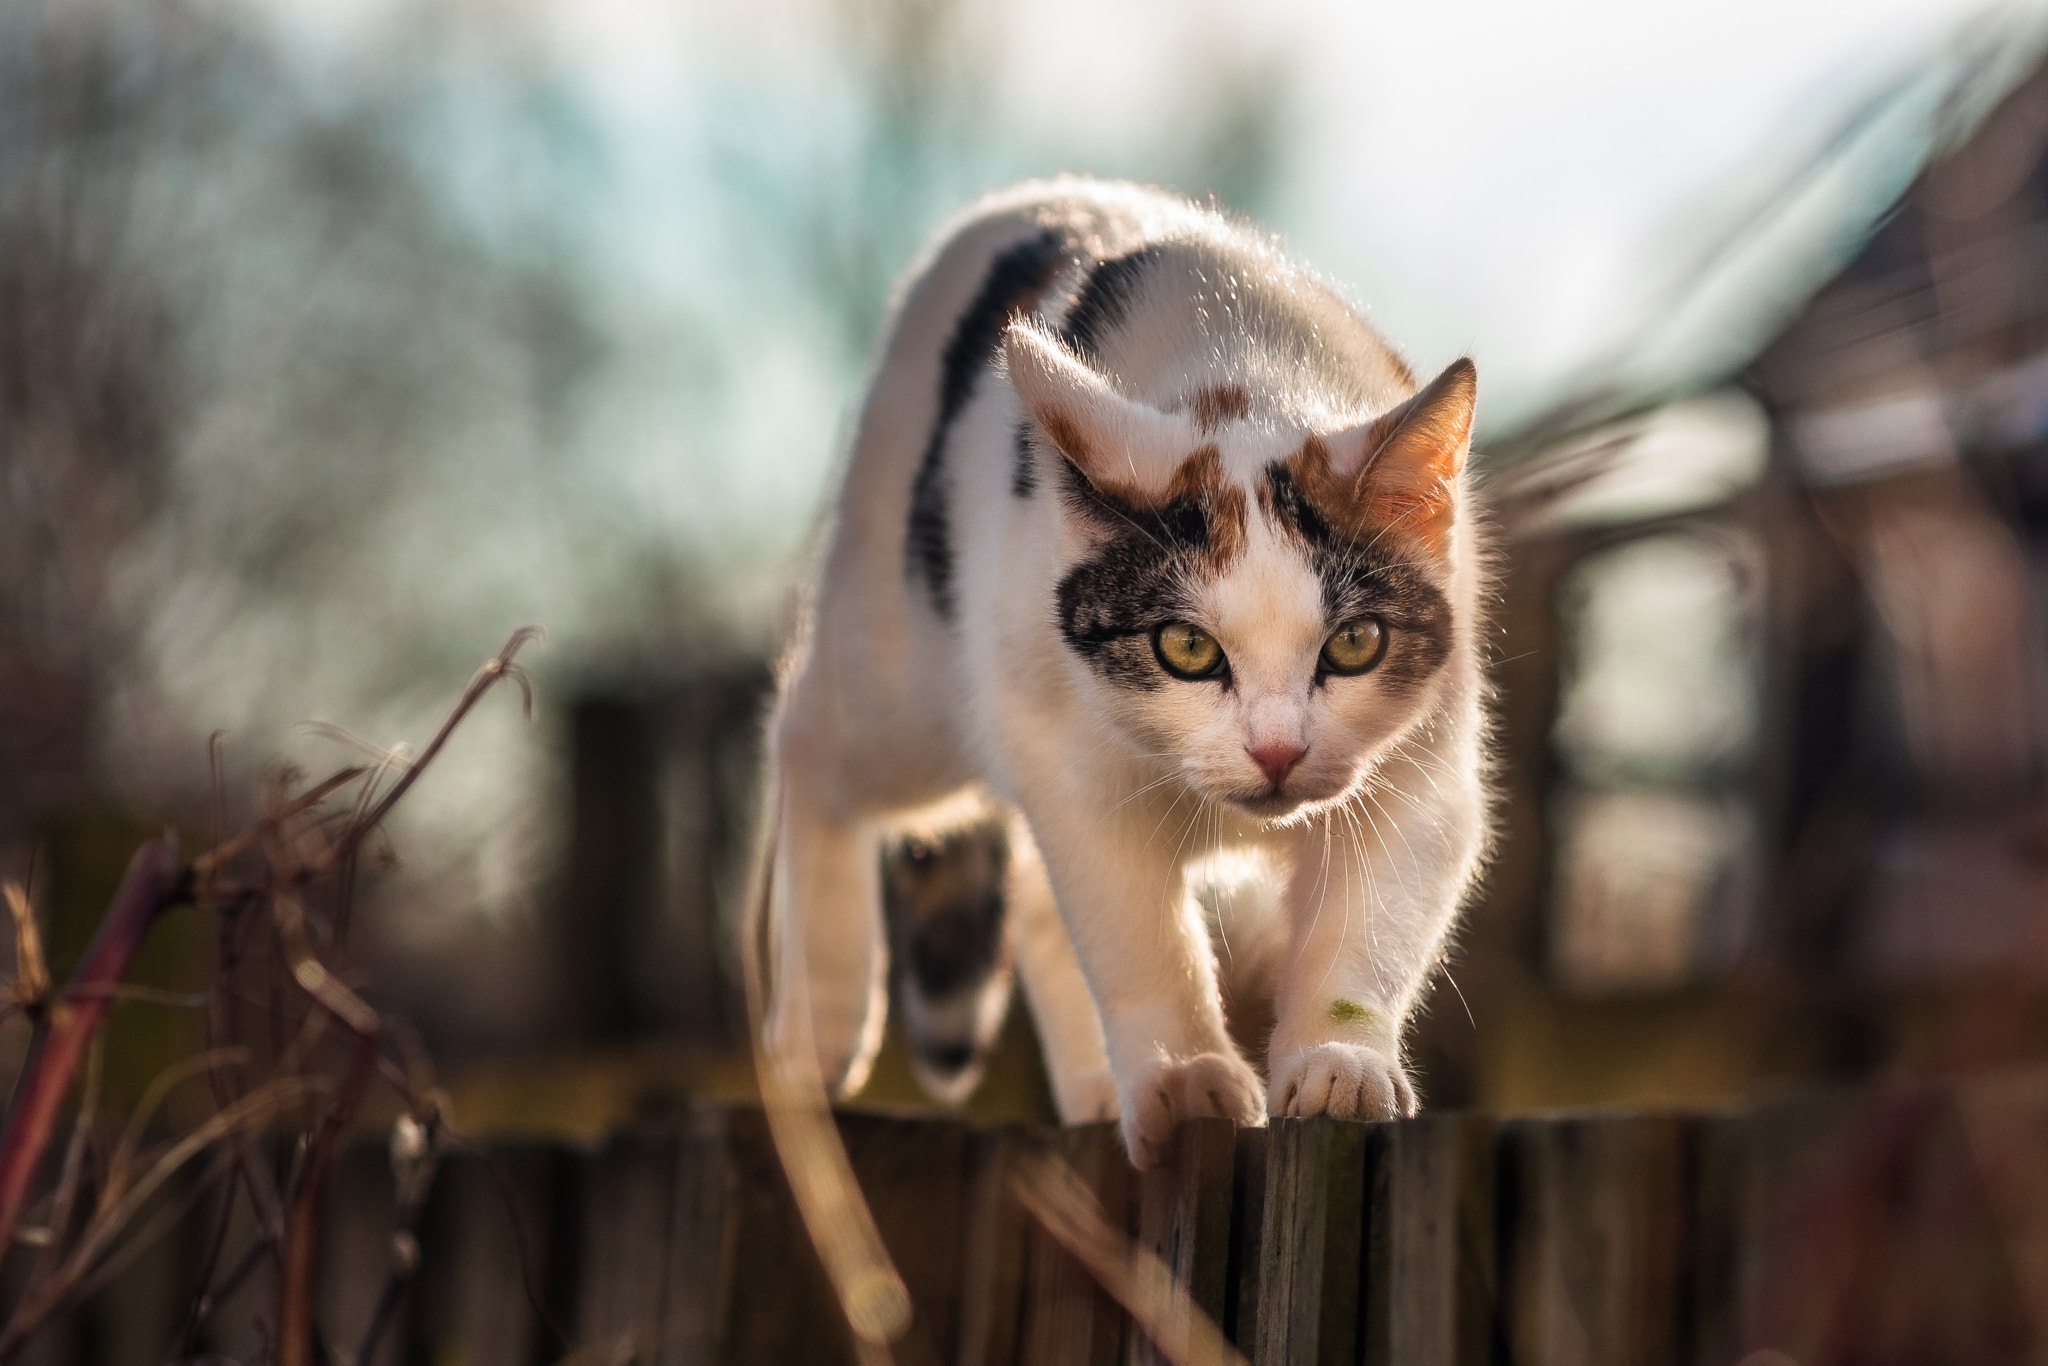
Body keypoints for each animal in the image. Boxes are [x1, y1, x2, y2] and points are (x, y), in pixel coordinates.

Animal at [765, 176, 1490, 1171]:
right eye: (1185, 648)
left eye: (1354, 645)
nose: (1277, 753)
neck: (1244, 371)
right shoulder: (1073, 770)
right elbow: (1137, 939)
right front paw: (1186, 1082)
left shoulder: (1424, 770)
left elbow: (1369, 924)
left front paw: (1337, 1063)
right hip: (904, 667)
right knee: (808, 737)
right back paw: (821, 1024)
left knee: (1034, 899)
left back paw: (1095, 1089)